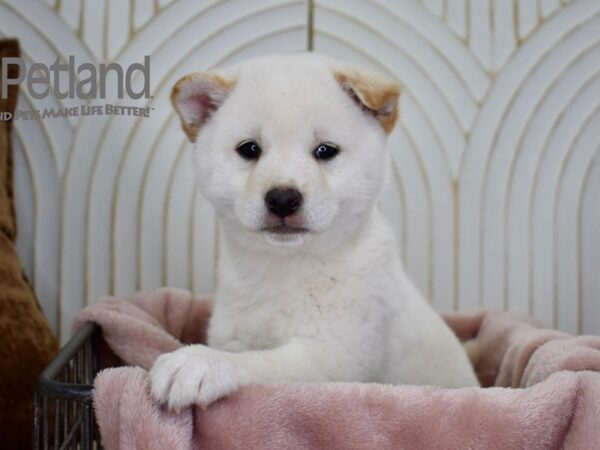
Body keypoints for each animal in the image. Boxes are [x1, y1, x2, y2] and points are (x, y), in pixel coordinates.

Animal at [150, 53, 478, 412]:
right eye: (249, 149)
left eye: (325, 151)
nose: (282, 199)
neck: (285, 267)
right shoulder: (233, 332)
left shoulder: (338, 355)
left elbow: (260, 362)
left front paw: (198, 362)